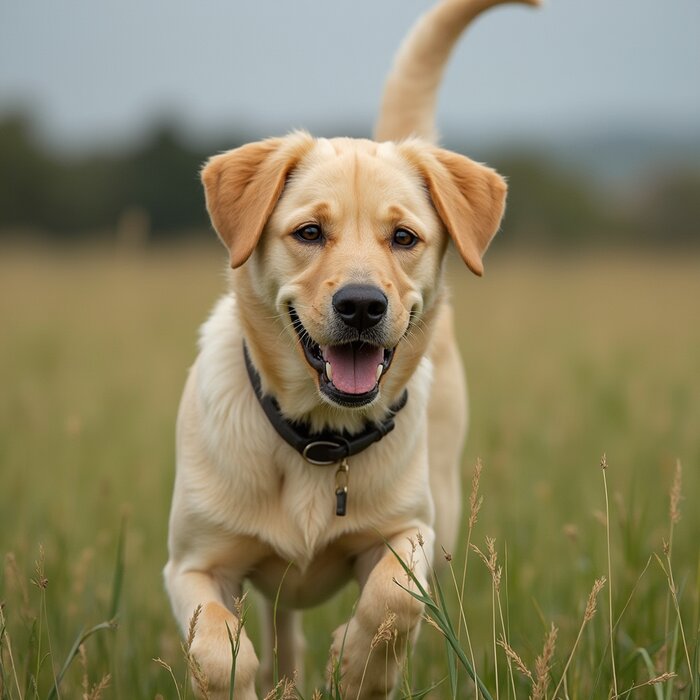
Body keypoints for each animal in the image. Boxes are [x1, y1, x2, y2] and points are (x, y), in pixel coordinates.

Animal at [164, 0, 536, 696]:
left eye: (404, 237)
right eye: (310, 232)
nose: (361, 305)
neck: (319, 439)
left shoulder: (410, 530)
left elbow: (393, 600)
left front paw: (356, 665)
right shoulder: (193, 562)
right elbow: (216, 649)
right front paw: (244, 675)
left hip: (446, 506)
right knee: (279, 626)